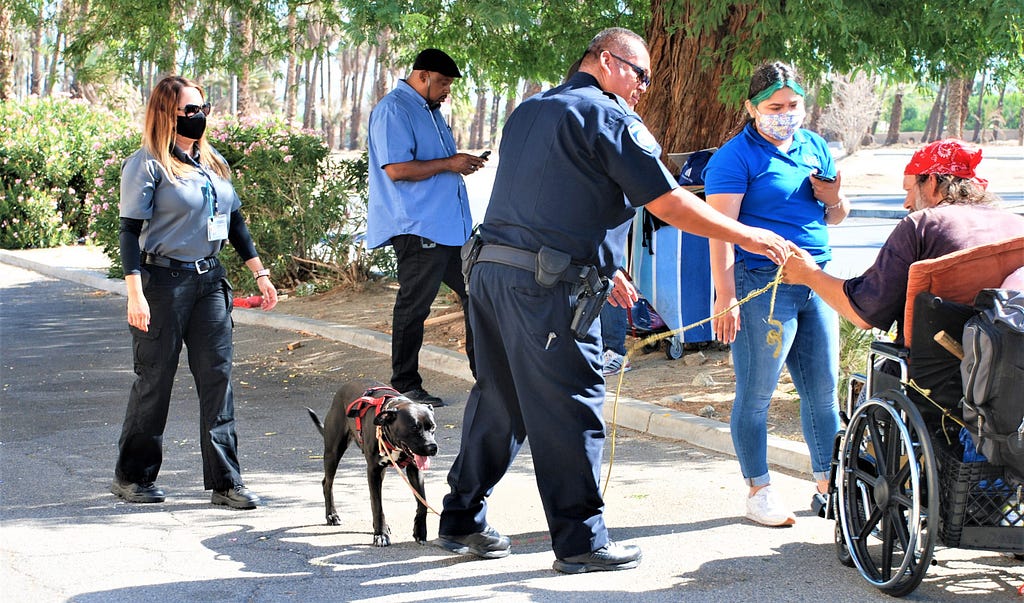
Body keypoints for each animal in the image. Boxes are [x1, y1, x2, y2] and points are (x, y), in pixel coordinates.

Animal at [305, 380, 438, 544]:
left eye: (433, 427)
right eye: (414, 428)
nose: (432, 447)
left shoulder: (414, 469)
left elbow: (422, 503)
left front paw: (419, 531)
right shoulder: (373, 470)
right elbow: (377, 505)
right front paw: (380, 534)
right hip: (333, 453)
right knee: (327, 483)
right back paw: (332, 515)